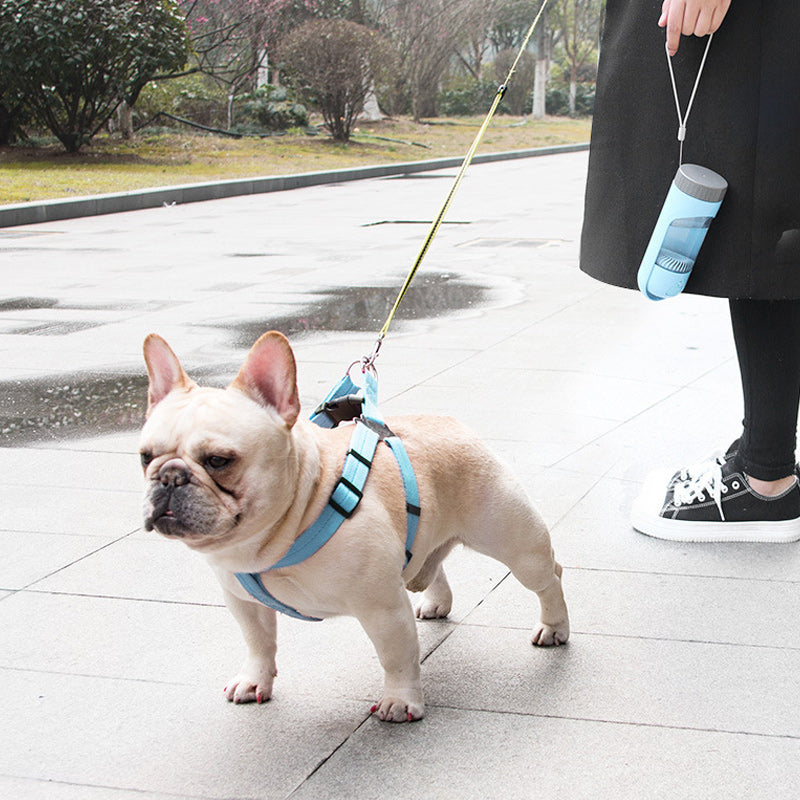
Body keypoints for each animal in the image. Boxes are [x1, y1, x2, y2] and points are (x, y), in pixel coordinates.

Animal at [142, 334, 568, 720]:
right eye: (145, 456)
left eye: (218, 461)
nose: (169, 477)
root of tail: (451, 423)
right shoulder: (244, 604)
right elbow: (259, 644)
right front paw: (254, 680)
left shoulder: (382, 608)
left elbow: (397, 657)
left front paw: (400, 701)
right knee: (429, 562)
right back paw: (437, 602)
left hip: (516, 544)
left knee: (549, 577)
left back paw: (554, 627)